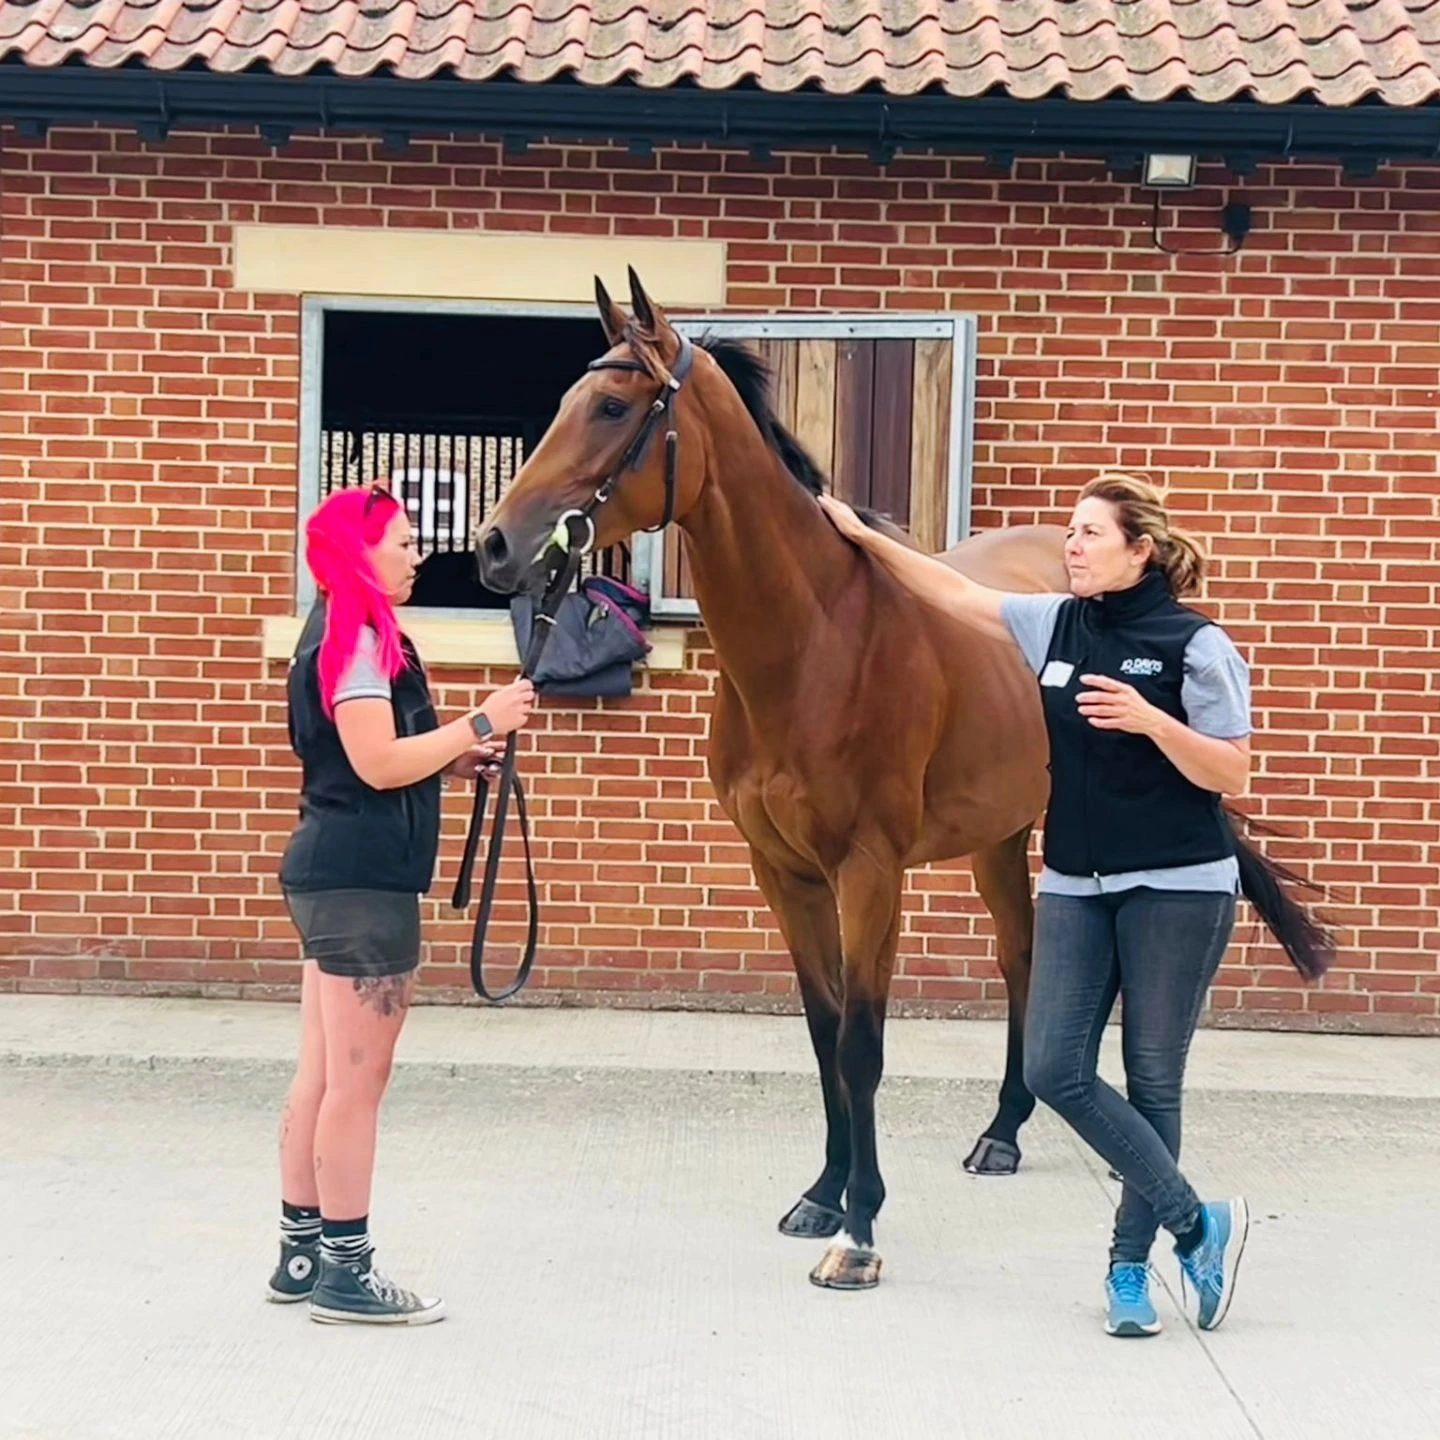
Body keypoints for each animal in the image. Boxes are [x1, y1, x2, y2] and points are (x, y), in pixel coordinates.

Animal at [474, 269, 1331, 1290]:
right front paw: (822, 1192)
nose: (493, 547)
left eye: (609, 406)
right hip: (1002, 837)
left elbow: (862, 1043)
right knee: (1026, 958)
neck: (815, 643)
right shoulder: (784, 873)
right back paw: (1005, 1131)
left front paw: (860, 1227)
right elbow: (822, 1031)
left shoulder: (868, 871)